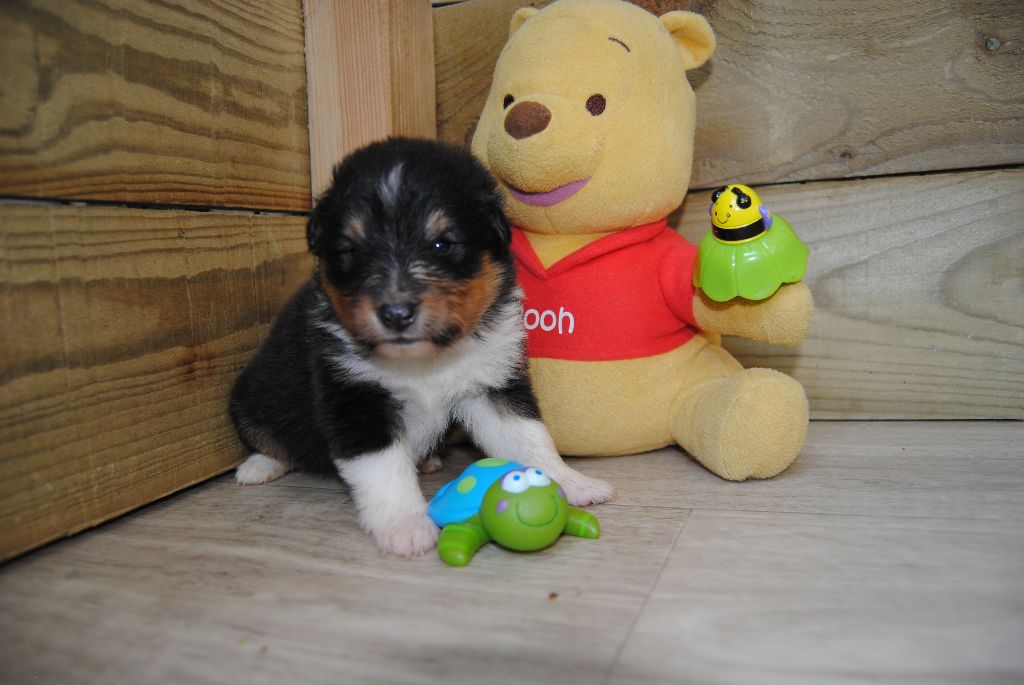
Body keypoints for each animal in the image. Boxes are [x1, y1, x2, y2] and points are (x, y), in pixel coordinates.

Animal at [229, 137, 615, 556]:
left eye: (441, 243)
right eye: (351, 250)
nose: (396, 313)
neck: (425, 362)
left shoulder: (491, 383)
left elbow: (530, 438)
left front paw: (572, 482)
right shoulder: (354, 398)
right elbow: (384, 469)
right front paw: (406, 527)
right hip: (250, 395)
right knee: (268, 437)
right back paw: (258, 466)